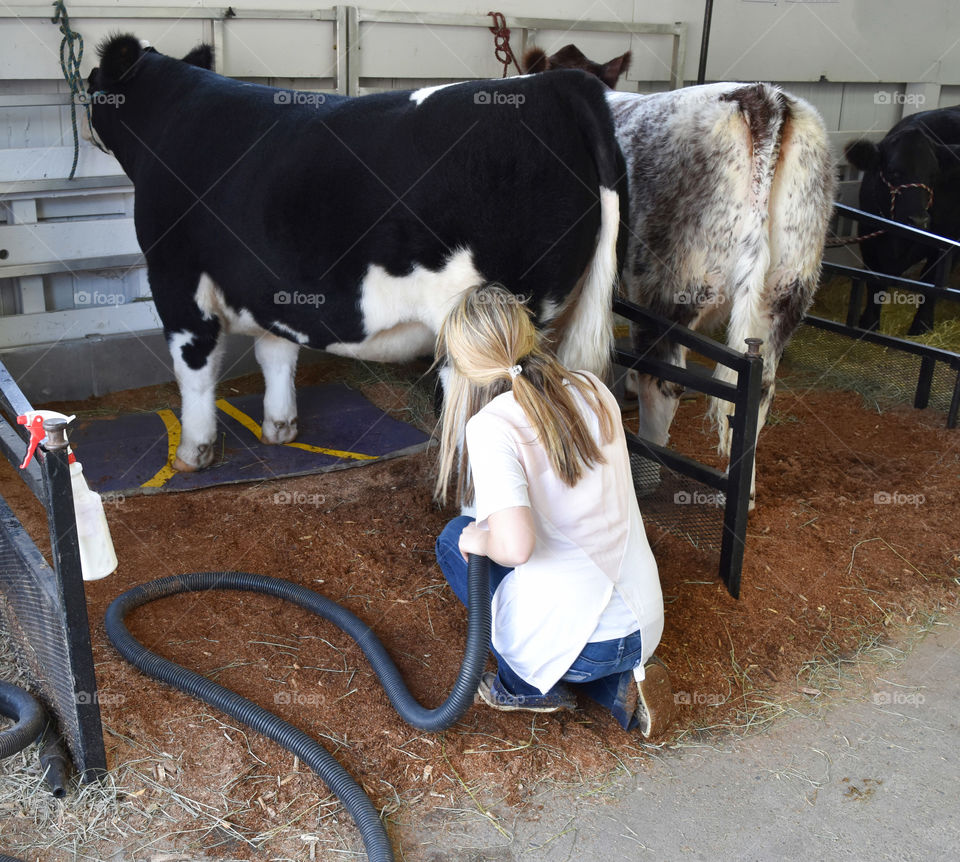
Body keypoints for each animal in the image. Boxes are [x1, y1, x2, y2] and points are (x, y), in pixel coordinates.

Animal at [88, 35, 632, 472]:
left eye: (93, 81)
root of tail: (560, 84)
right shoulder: (270, 286)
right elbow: (276, 353)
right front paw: (279, 428)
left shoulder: (175, 277)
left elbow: (194, 370)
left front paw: (192, 453)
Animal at [520, 47, 836, 506]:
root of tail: (762, 98)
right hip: (786, 291)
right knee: (760, 393)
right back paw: (747, 490)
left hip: (669, 286)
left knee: (665, 381)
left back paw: (646, 471)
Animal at [848, 106, 960, 336]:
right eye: (893, 172)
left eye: (933, 175)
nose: (918, 220)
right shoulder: (868, 233)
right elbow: (875, 278)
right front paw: (869, 322)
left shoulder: (947, 242)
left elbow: (931, 282)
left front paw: (921, 326)